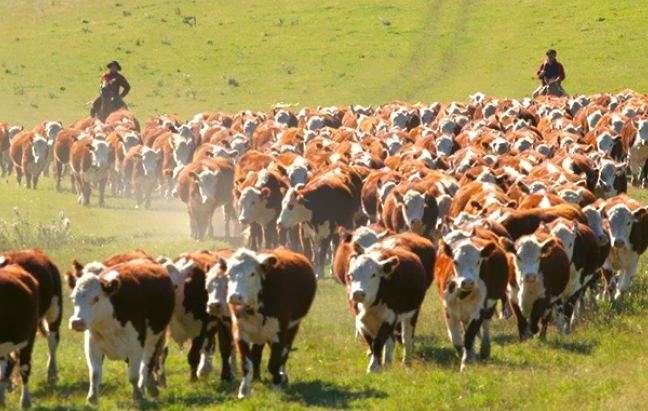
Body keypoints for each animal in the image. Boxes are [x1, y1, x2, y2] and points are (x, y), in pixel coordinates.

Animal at [65, 260, 175, 406]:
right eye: (73, 298)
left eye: (96, 298)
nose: (77, 322)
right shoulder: (92, 344)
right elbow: (94, 373)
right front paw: (92, 398)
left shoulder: (136, 344)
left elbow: (134, 376)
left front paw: (138, 395)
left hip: (154, 339)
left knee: (146, 366)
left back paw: (146, 389)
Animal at [219, 248, 318, 400]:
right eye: (228, 274)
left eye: (252, 273)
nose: (235, 296)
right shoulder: (240, 332)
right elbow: (246, 363)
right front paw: (244, 390)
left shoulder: (280, 332)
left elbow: (274, 362)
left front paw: (277, 384)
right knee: (257, 353)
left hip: (293, 327)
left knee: (285, 352)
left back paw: (282, 374)